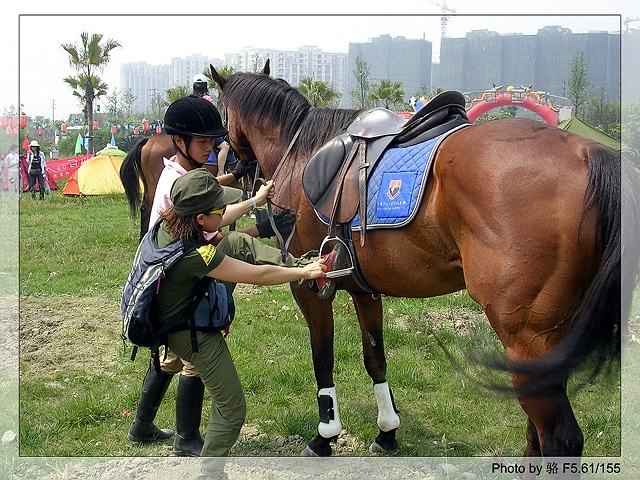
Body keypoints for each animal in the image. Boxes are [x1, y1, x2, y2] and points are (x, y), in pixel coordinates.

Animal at [209, 64, 632, 464]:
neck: (300, 155)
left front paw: (324, 437)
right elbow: (375, 358)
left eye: (219, 111)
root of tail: (587, 153)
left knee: (560, 437)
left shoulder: (309, 286)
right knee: (538, 433)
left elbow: (323, 359)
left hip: (525, 337)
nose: (230, 165)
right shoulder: (365, 291)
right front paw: (387, 431)